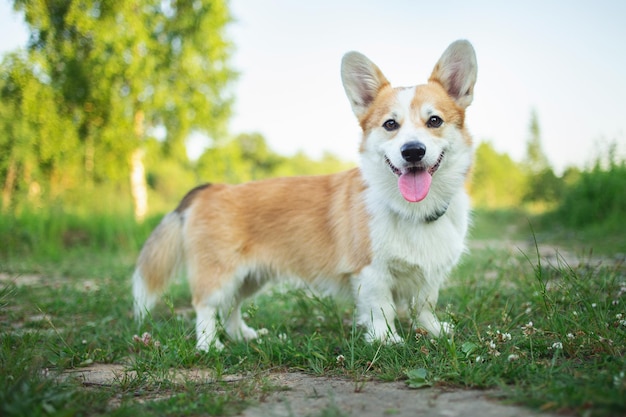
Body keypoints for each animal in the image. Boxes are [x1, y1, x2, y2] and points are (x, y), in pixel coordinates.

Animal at [130, 39, 472, 352]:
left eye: (434, 121)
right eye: (390, 124)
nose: (412, 151)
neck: (413, 210)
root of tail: (211, 189)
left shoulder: (430, 276)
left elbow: (424, 305)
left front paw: (434, 331)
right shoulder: (371, 273)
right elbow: (382, 310)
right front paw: (386, 341)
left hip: (251, 277)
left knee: (232, 307)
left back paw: (243, 335)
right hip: (220, 275)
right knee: (205, 306)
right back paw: (209, 345)